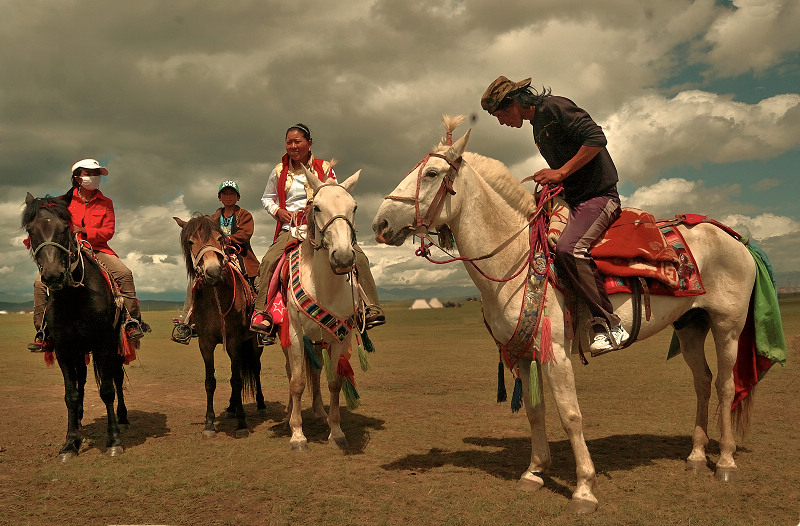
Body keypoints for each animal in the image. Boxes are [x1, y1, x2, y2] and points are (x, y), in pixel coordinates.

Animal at [21, 194, 130, 462]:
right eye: (31, 231)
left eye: (65, 228)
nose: (53, 276)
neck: (75, 297)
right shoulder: (64, 349)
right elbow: (71, 394)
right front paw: (70, 443)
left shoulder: (104, 344)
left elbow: (107, 390)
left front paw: (114, 441)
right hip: (80, 352)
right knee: (81, 382)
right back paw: (79, 421)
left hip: (114, 347)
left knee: (117, 378)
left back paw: (122, 418)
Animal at [280, 171, 368, 452]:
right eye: (317, 207)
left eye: (354, 207)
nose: (343, 258)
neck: (324, 287)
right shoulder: (295, 334)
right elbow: (297, 382)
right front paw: (297, 435)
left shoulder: (341, 335)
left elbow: (334, 382)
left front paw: (336, 431)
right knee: (291, 372)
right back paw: (289, 414)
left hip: (318, 340)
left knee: (317, 371)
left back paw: (319, 412)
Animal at [376, 117, 768, 512]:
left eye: (432, 173)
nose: (380, 224)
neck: (515, 259)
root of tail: (737, 239)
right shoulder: (523, 353)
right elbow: (535, 411)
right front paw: (535, 472)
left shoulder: (556, 353)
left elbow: (570, 414)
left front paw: (584, 489)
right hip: (690, 324)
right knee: (702, 381)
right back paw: (696, 457)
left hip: (727, 325)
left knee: (725, 385)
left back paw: (726, 462)